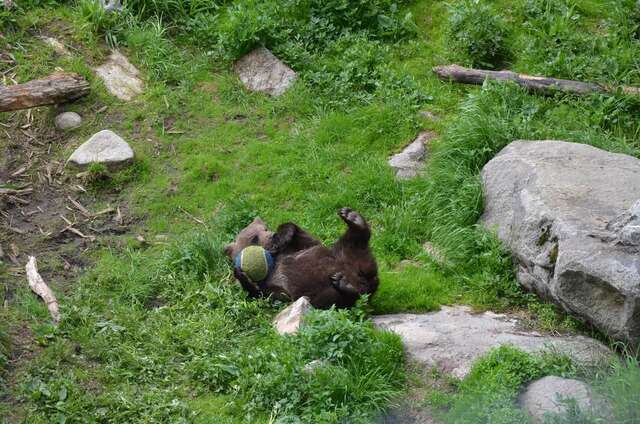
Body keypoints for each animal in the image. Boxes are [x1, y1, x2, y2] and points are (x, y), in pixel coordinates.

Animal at [224, 208, 378, 308]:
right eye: (254, 238)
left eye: (266, 228)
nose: (272, 236)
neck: (274, 261)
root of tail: (362, 276)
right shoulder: (274, 285)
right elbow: (270, 295)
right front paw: (242, 275)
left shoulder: (296, 249)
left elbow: (306, 239)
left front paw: (283, 234)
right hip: (319, 294)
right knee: (339, 298)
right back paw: (345, 284)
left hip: (341, 254)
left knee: (353, 241)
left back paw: (353, 218)